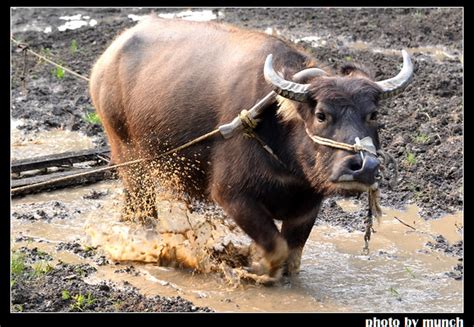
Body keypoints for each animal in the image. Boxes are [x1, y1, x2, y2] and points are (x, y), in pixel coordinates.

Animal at [90, 15, 414, 282]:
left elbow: (293, 258)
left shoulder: (308, 204)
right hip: (128, 154)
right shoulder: (232, 195)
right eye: (321, 114)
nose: (364, 166)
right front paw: (256, 268)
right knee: (141, 203)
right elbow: (276, 247)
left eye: (373, 114)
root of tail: (106, 59)